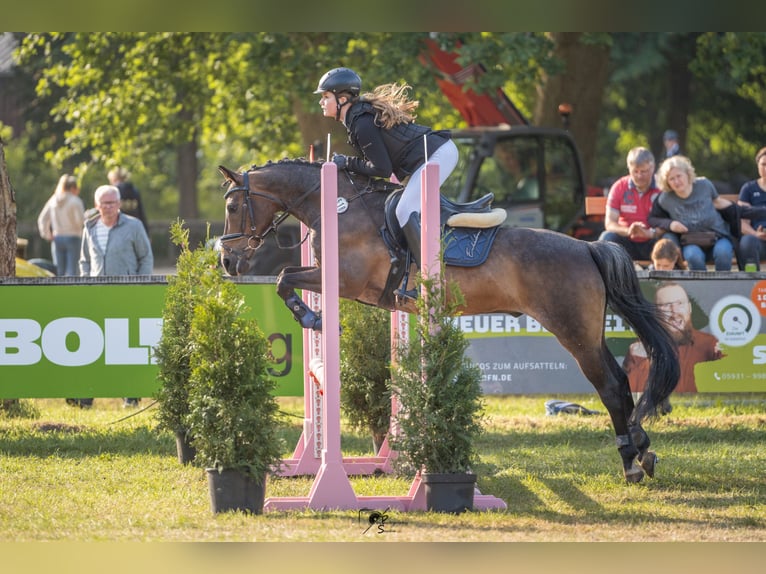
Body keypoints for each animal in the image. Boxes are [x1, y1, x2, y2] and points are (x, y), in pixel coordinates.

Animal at [219, 160, 680, 484]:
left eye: (233, 206)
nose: (227, 262)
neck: (339, 208)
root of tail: (587, 248)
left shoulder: (344, 281)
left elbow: (284, 277)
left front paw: (313, 317)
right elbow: (286, 276)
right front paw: (311, 316)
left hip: (574, 332)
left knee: (608, 386)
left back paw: (630, 461)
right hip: (588, 332)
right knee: (620, 380)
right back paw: (641, 450)